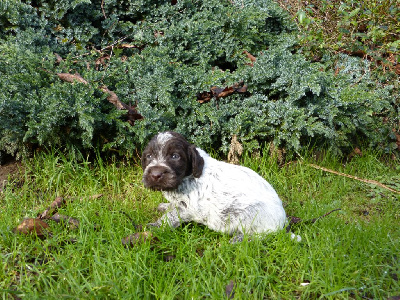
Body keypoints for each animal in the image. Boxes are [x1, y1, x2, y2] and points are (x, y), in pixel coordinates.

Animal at [142, 132, 290, 243]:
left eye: (175, 156)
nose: (155, 175)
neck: (187, 177)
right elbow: (172, 207)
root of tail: (283, 221)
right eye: (149, 156)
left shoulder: (188, 207)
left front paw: (155, 226)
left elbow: (170, 217)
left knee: (262, 235)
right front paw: (165, 206)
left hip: (253, 215)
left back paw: (240, 239)